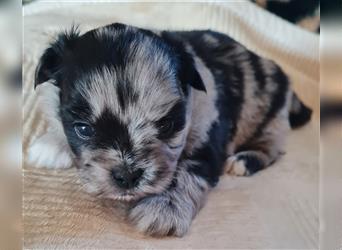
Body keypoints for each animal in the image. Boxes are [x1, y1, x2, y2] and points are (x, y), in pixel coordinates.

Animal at [28, 23, 312, 236]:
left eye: (165, 125)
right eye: (84, 129)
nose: (128, 176)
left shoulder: (207, 132)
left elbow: (187, 169)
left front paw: (164, 207)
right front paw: (52, 144)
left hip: (271, 115)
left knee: (271, 147)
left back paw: (246, 160)